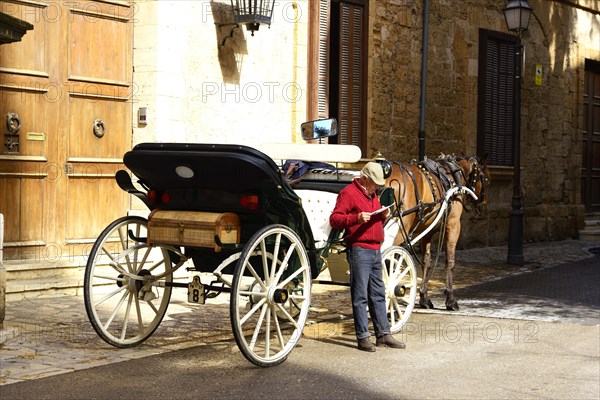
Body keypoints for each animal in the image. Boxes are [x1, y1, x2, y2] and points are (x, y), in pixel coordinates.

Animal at [382, 155, 490, 310]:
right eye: (486, 179)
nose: (483, 204)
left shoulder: (427, 232)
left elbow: (426, 262)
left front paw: (424, 297)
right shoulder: (453, 225)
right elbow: (450, 261)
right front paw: (450, 299)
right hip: (399, 231)